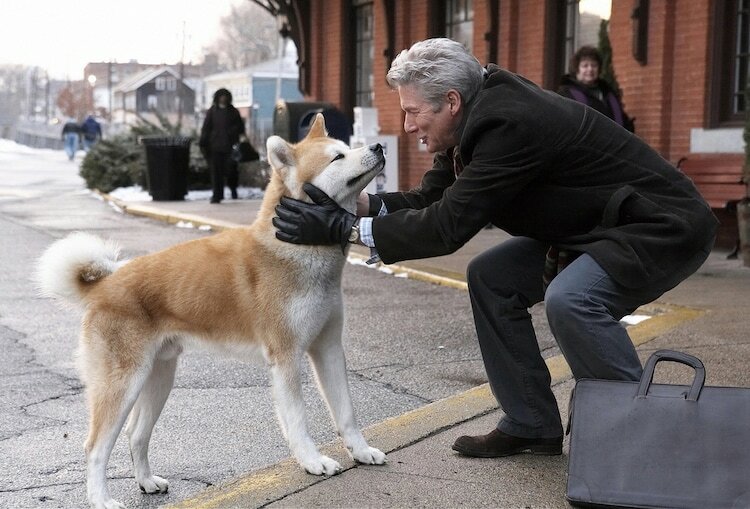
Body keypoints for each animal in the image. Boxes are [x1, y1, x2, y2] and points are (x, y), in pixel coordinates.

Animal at [35, 115, 388, 508]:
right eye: (337, 157)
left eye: (347, 147)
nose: (378, 147)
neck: (296, 249)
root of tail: (103, 286)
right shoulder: (286, 358)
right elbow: (298, 420)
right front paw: (313, 462)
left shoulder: (327, 348)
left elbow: (347, 412)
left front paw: (361, 451)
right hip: (123, 384)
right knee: (96, 447)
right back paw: (102, 499)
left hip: (158, 378)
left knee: (136, 435)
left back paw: (147, 482)